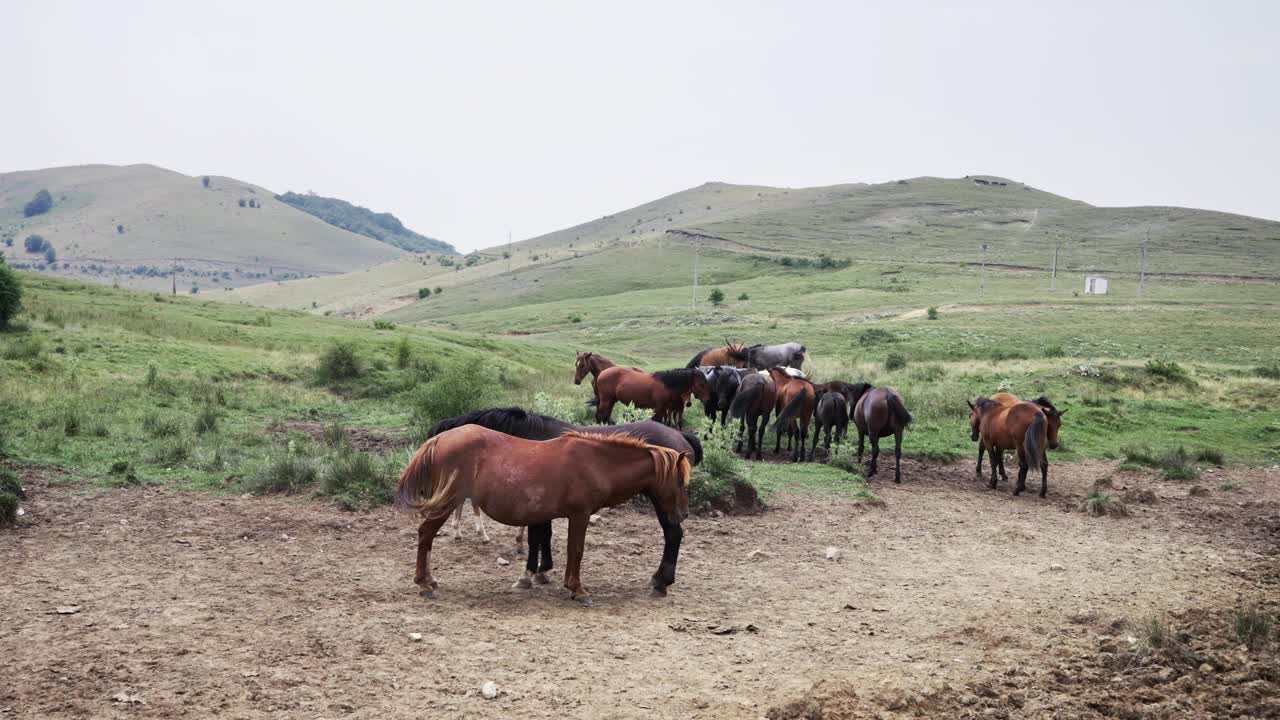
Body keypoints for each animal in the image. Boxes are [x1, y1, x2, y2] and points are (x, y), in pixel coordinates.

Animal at [394, 422, 691, 602]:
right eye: (679, 480)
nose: (683, 513)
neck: (595, 463)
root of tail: (438, 439)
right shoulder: (579, 515)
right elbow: (575, 550)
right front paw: (577, 589)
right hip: (447, 502)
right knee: (426, 534)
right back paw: (424, 583)